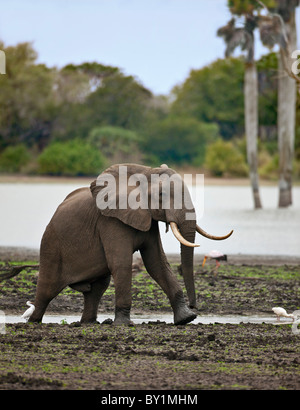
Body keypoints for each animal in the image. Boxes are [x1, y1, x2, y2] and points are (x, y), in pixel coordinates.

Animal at [28, 164, 233, 326]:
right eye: (161, 194)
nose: (194, 306)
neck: (145, 172)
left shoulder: (148, 218)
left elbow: (157, 263)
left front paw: (186, 318)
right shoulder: (110, 221)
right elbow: (122, 264)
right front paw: (124, 324)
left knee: (96, 290)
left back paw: (87, 323)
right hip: (51, 245)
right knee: (46, 289)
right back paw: (33, 321)